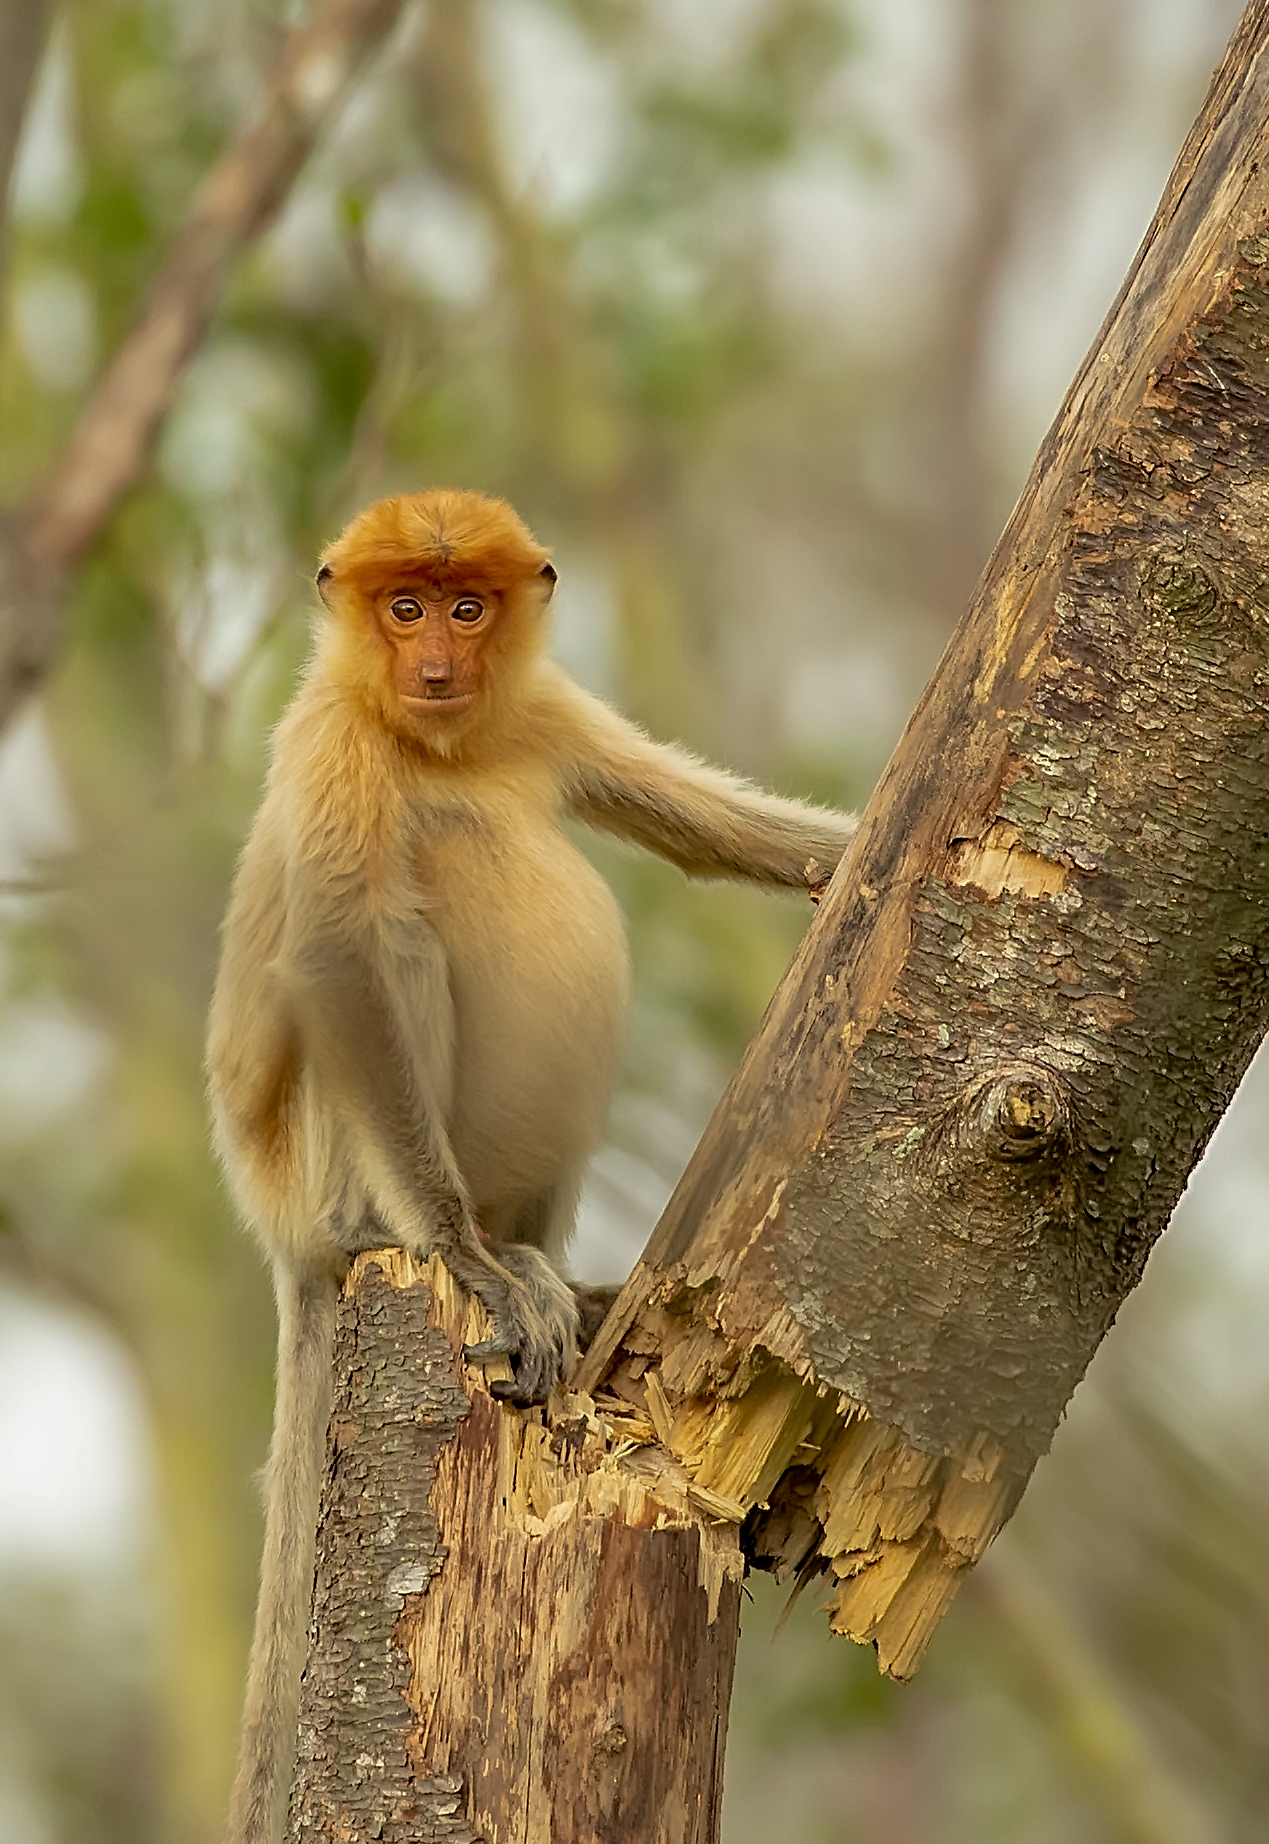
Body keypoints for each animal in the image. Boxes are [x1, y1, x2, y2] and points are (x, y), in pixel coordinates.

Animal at [210, 490, 863, 1844]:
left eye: (467, 607)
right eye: (403, 606)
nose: (434, 665)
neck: (439, 746)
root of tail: (282, 1233)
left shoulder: (540, 706)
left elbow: (693, 816)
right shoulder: (334, 743)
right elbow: (339, 951)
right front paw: (470, 1263)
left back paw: (571, 1278)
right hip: (312, 1148)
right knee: (392, 929)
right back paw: (440, 1241)